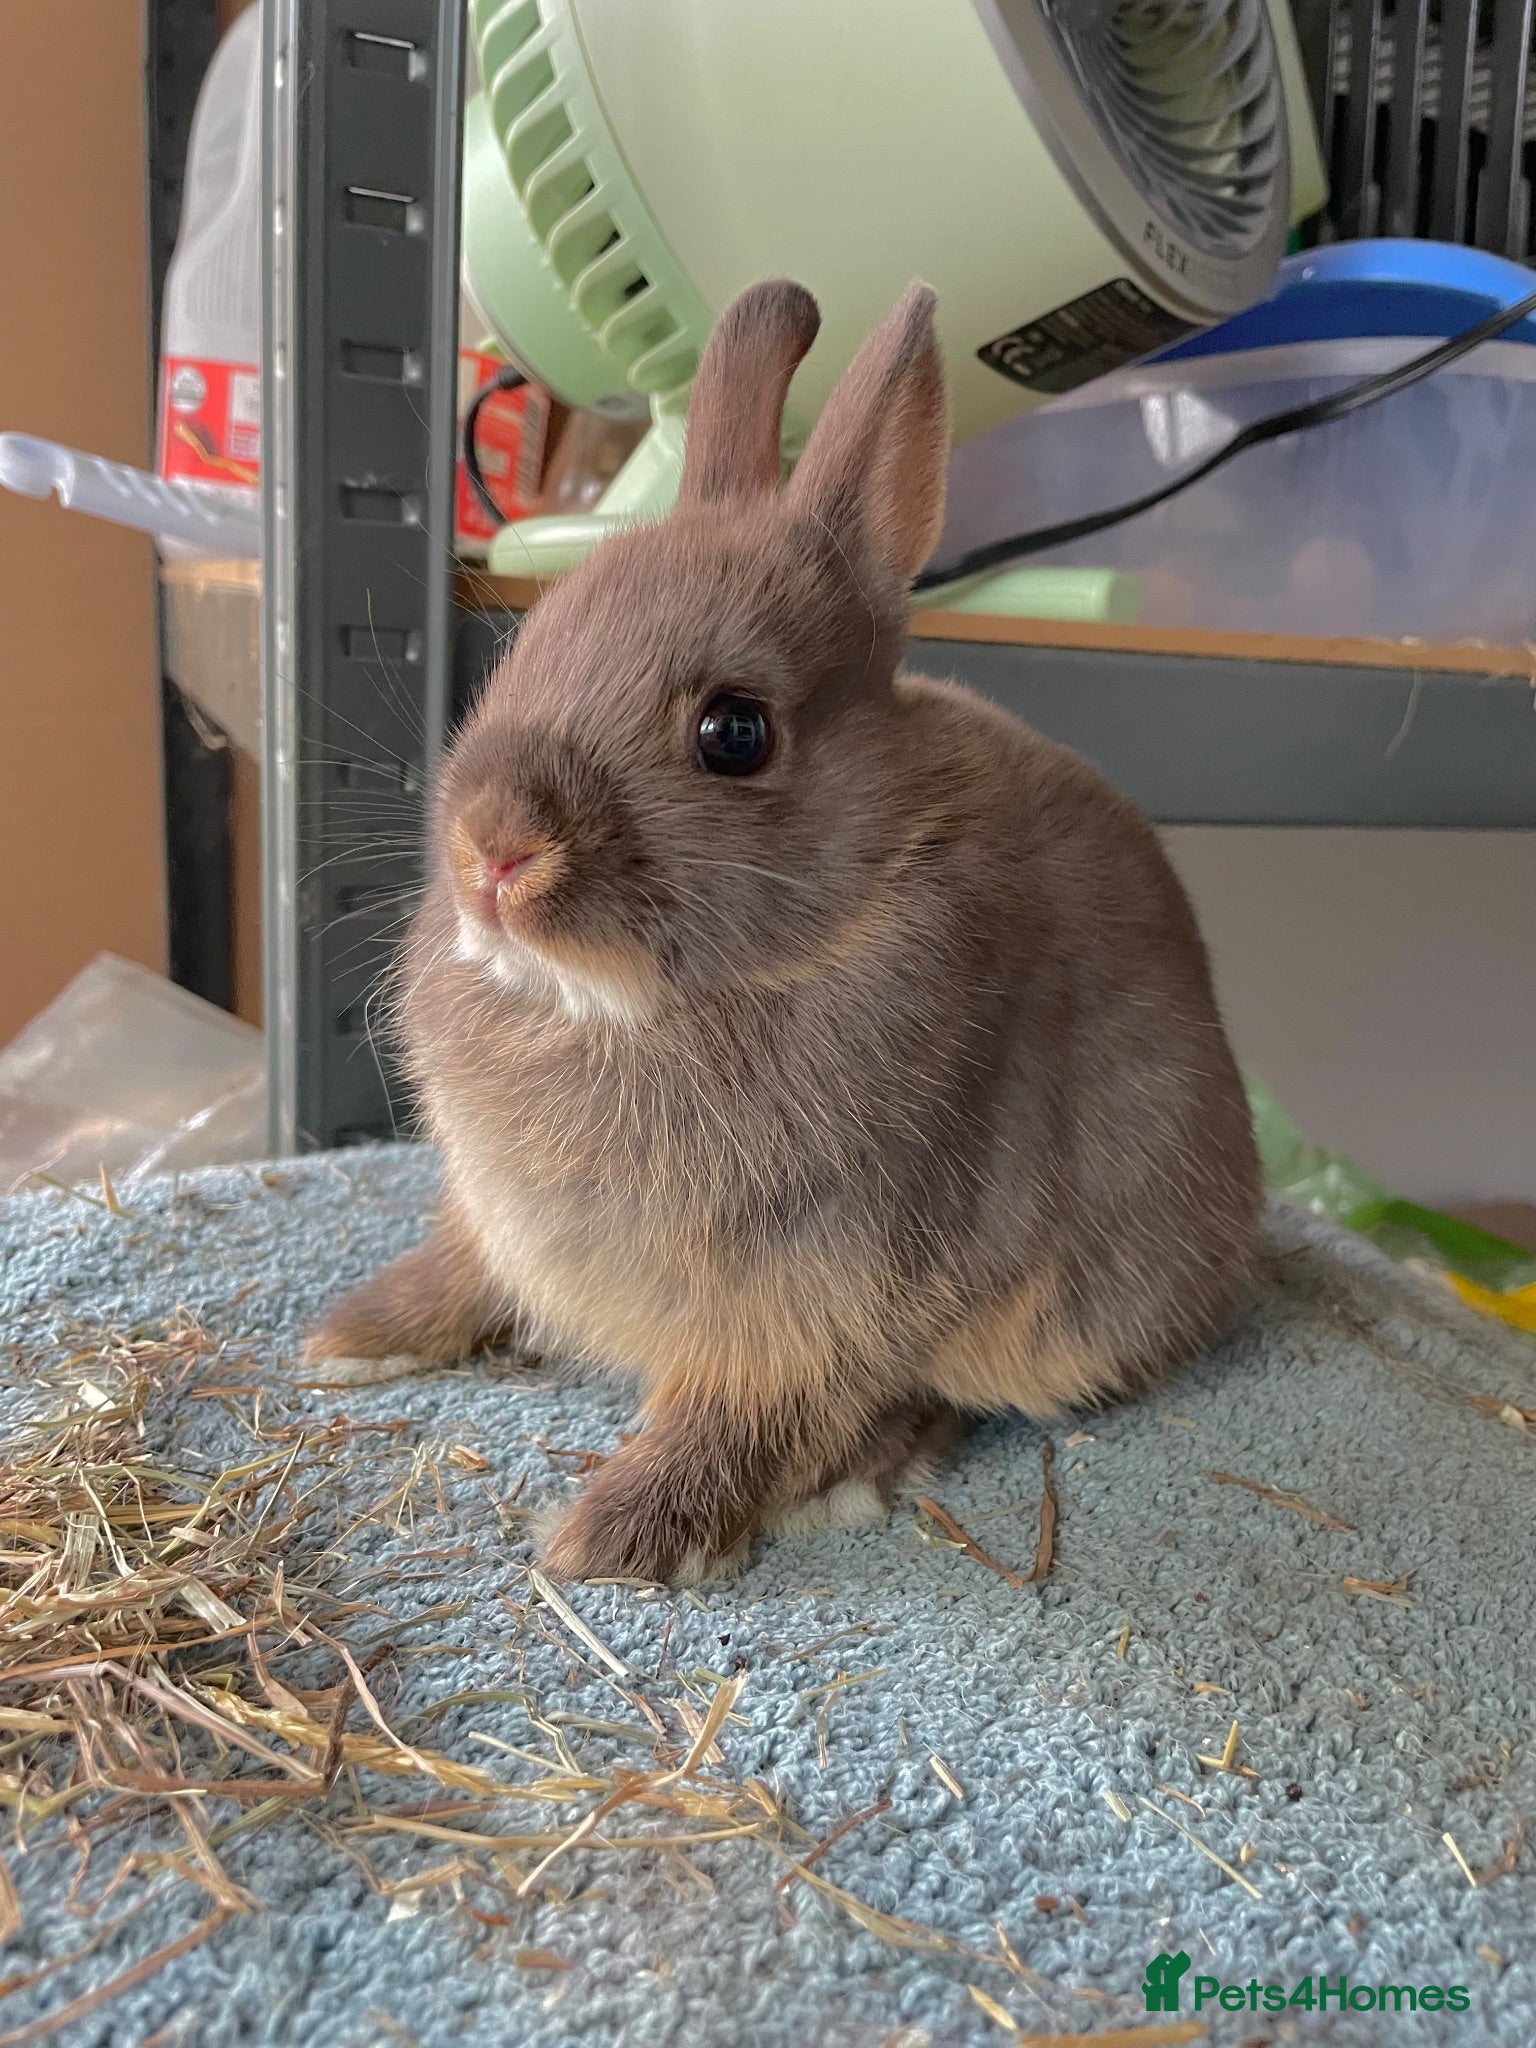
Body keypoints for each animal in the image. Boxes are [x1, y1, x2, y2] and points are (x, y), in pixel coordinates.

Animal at [305, 278, 1262, 1585]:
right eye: (531, 646)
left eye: (735, 731)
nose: (492, 850)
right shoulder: (493, 1216)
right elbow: (463, 1265)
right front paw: (358, 1338)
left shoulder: (825, 1285)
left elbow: (751, 1403)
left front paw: (618, 1536)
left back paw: (850, 1477)